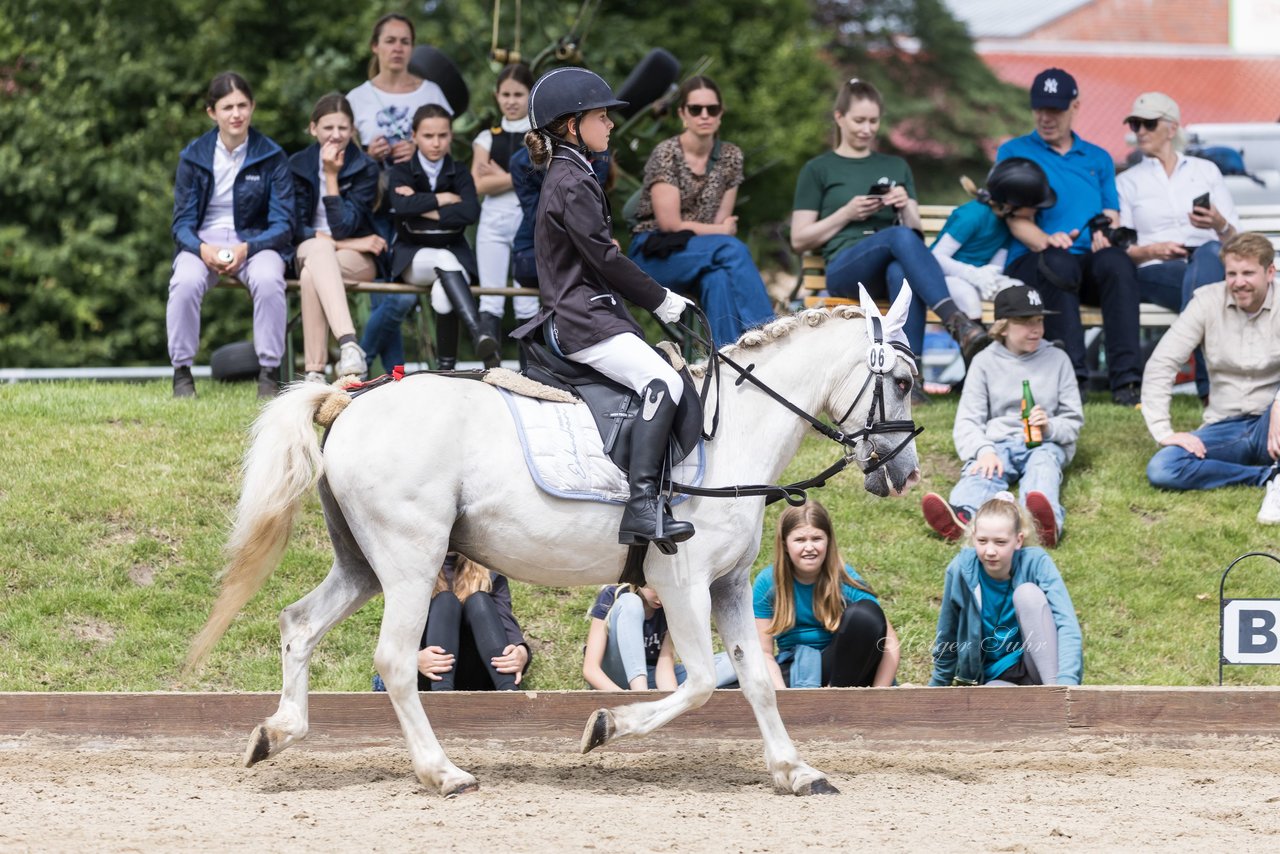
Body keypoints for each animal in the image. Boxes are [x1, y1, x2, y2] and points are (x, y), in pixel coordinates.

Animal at [186, 291, 921, 793]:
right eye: (904, 381)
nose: (905, 475)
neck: (731, 430)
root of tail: (352, 401)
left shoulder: (729, 585)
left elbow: (759, 682)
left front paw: (796, 770)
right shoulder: (681, 582)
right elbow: (700, 685)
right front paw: (605, 728)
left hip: (363, 564)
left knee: (299, 624)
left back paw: (276, 734)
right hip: (410, 563)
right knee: (395, 660)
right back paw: (442, 772)